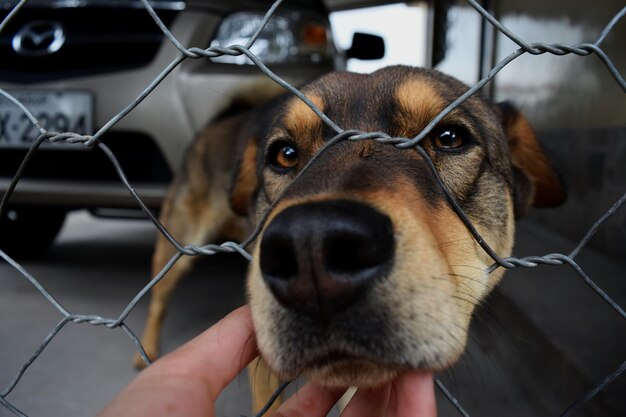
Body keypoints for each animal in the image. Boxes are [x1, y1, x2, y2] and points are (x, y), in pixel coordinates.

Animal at [134, 66, 564, 410]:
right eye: (285, 154)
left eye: (449, 137)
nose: (311, 247)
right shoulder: (260, 358)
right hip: (178, 245)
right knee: (158, 299)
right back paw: (147, 353)